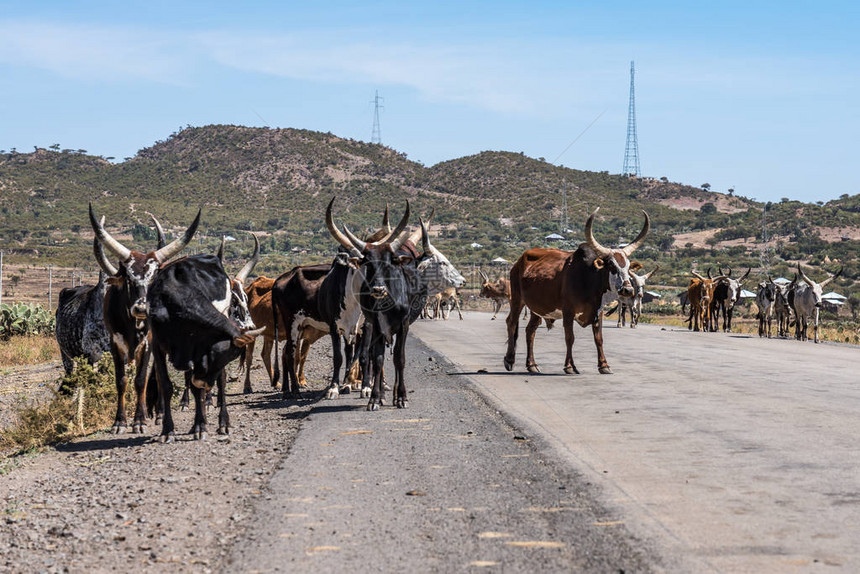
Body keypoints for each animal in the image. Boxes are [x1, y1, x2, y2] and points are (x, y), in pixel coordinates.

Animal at [89, 205, 202, 434]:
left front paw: (139, 420)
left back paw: (159, 415)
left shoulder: (148, 342)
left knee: (156, 375)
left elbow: (140, 380)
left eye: (153, 278)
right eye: (129, 279)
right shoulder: (114, 343)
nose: (141, 307)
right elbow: (121, 380)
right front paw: (119, 422)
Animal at [324, 200, 418, 412]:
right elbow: (363, 358)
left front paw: (399, 396)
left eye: (389, 263)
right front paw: (370, 396)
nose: (377, 289)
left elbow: (395, 358)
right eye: (367, 264)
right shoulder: (355, 326)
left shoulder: (396, 325)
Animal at [500, 209, 648, 376]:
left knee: (530, 330)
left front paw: (604, 365)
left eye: (628, 266)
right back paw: (509, 360)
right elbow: (570, 338)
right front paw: (569, 366)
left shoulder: (598, 312)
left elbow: (599, 339)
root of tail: (518, 262)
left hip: (537, 308)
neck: (589, 279)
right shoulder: (568, 312)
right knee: (511, 323)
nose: (628, 290)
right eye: (611, 265)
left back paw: (532, 364)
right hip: (517, 299)